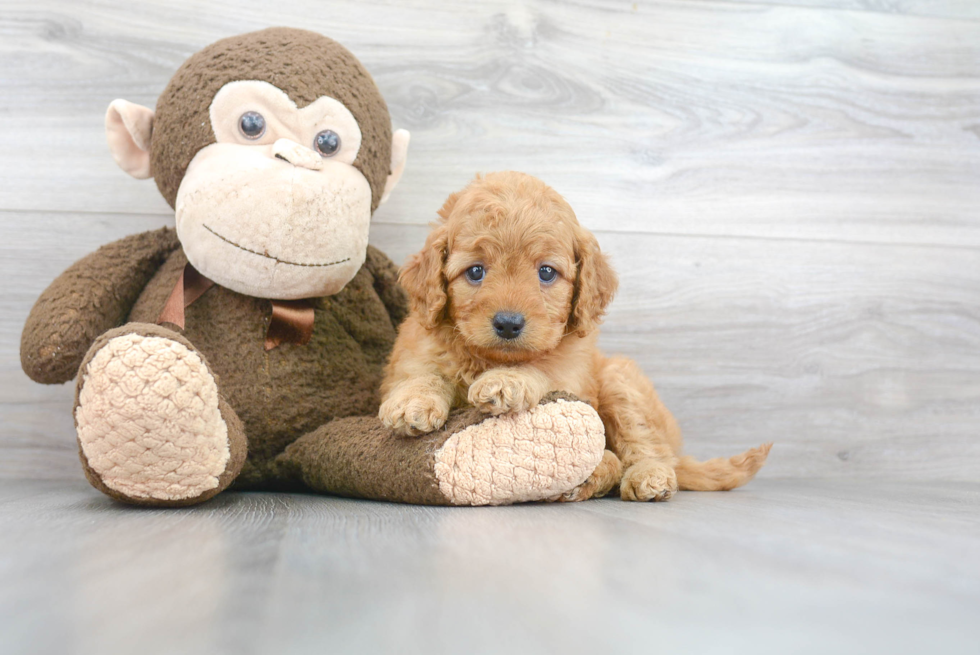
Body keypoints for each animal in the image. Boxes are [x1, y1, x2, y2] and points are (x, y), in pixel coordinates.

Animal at [378, 172, 768, 500]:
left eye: (547, 272)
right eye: (475, 272)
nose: (508, 324)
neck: (489, 358)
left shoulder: (571, 373)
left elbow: (542, 367)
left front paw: (507, 381)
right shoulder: (416, 349)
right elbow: (422, 373)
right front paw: (412, 401)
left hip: (619, 379)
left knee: (646, 446)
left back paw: (645, 475)